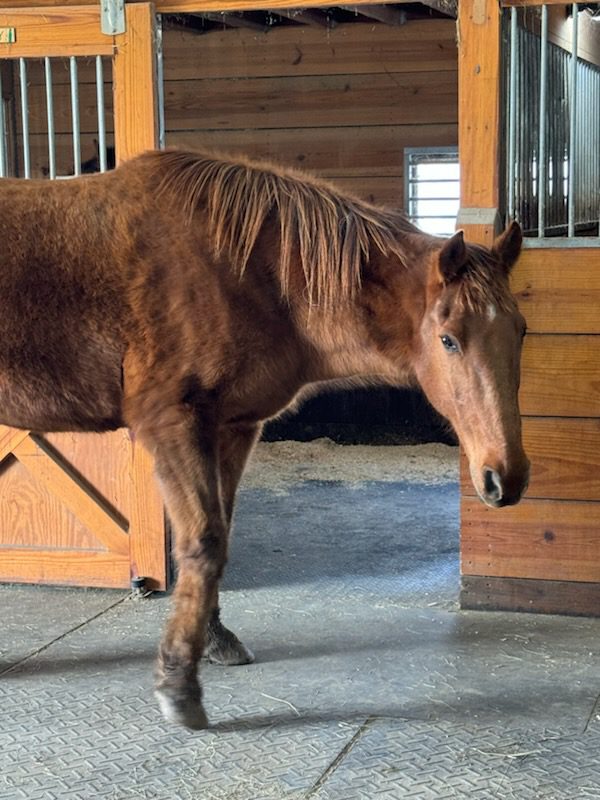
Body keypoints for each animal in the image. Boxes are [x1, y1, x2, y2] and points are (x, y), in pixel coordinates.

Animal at [0, 149, 529, 729]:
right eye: (448, 339)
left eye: (521, 331)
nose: (505, 477)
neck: (245, 272)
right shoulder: (173, 425)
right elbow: (204, 541)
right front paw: (180, 687)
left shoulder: (232, 427)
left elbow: (218, 535)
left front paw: (214, 641)